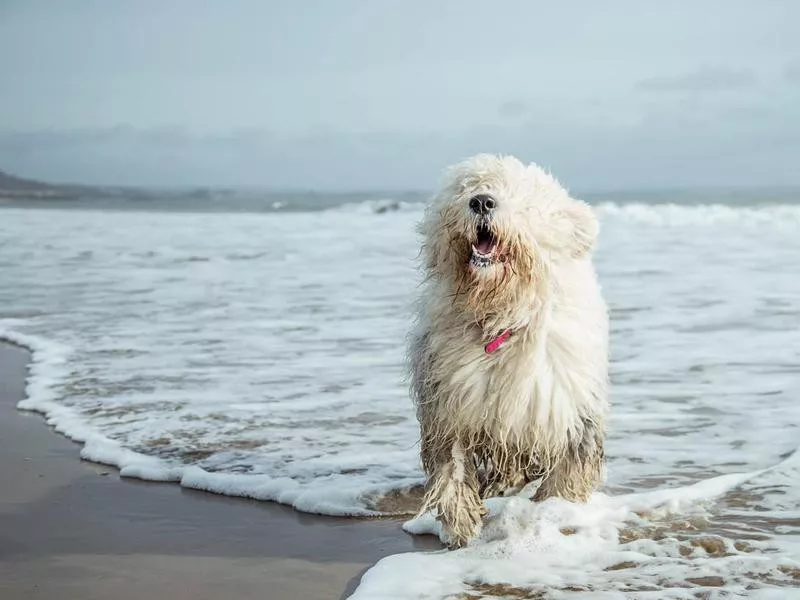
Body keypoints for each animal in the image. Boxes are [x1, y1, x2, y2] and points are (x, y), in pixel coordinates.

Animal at [410, 154, 608, 548]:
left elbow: (567, 474)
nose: (482, 202)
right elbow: (450, 464)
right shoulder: (448, 403)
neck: (502, 317)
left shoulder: (569, 406)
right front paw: (461, 522)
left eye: (524, 197)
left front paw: (555, 513)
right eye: (469, 186)